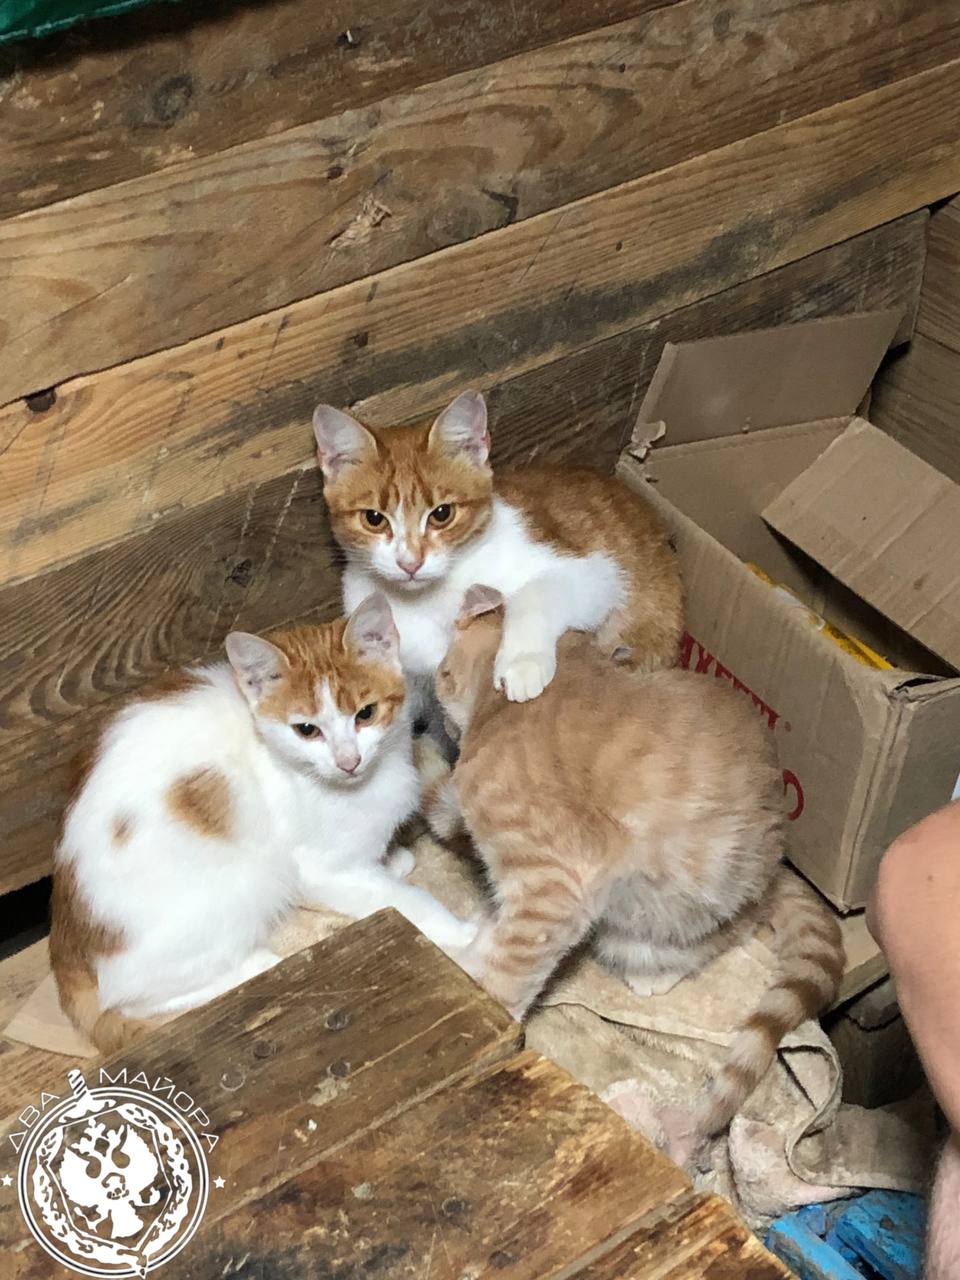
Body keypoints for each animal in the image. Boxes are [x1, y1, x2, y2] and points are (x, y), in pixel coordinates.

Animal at [50, 593, 476, 1054]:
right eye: (306, 729)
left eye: (366, 714)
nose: (348, 761)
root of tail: (66, 941)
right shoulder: (316, 868)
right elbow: (405, 900)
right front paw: (459, 930)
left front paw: (392, 861)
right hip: (240, 885)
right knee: (133, 998)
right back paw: (256, 964)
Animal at [312, 390, 683, 715]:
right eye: (374, 518)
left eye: (442, 513)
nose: (410, 563)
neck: (432, 597)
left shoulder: (594, 571)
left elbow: (536, 595)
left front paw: (522, 662)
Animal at [423, 584, 844, 1154]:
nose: (438, 711)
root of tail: (779, 869)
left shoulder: (552, 890)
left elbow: (508, 974)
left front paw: (484, 1011)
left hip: (656, 920)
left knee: (719, 938)